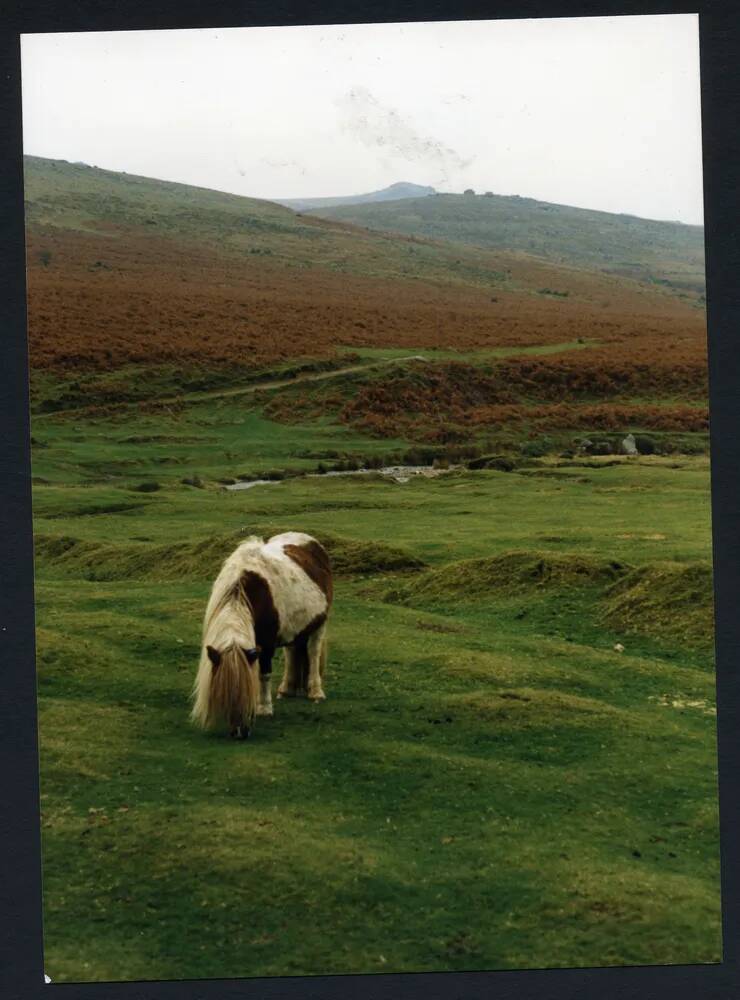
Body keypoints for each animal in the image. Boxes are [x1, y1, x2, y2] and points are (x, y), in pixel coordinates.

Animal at [191, 536, 332, 740]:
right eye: (224, 694)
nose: (241, 733)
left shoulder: (266, 645)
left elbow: (263, 674)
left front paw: (264, 708)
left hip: (319, 625)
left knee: (313, 654)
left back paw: (315, 691)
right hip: (293, 628)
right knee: (292, 652)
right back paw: (286, 689)